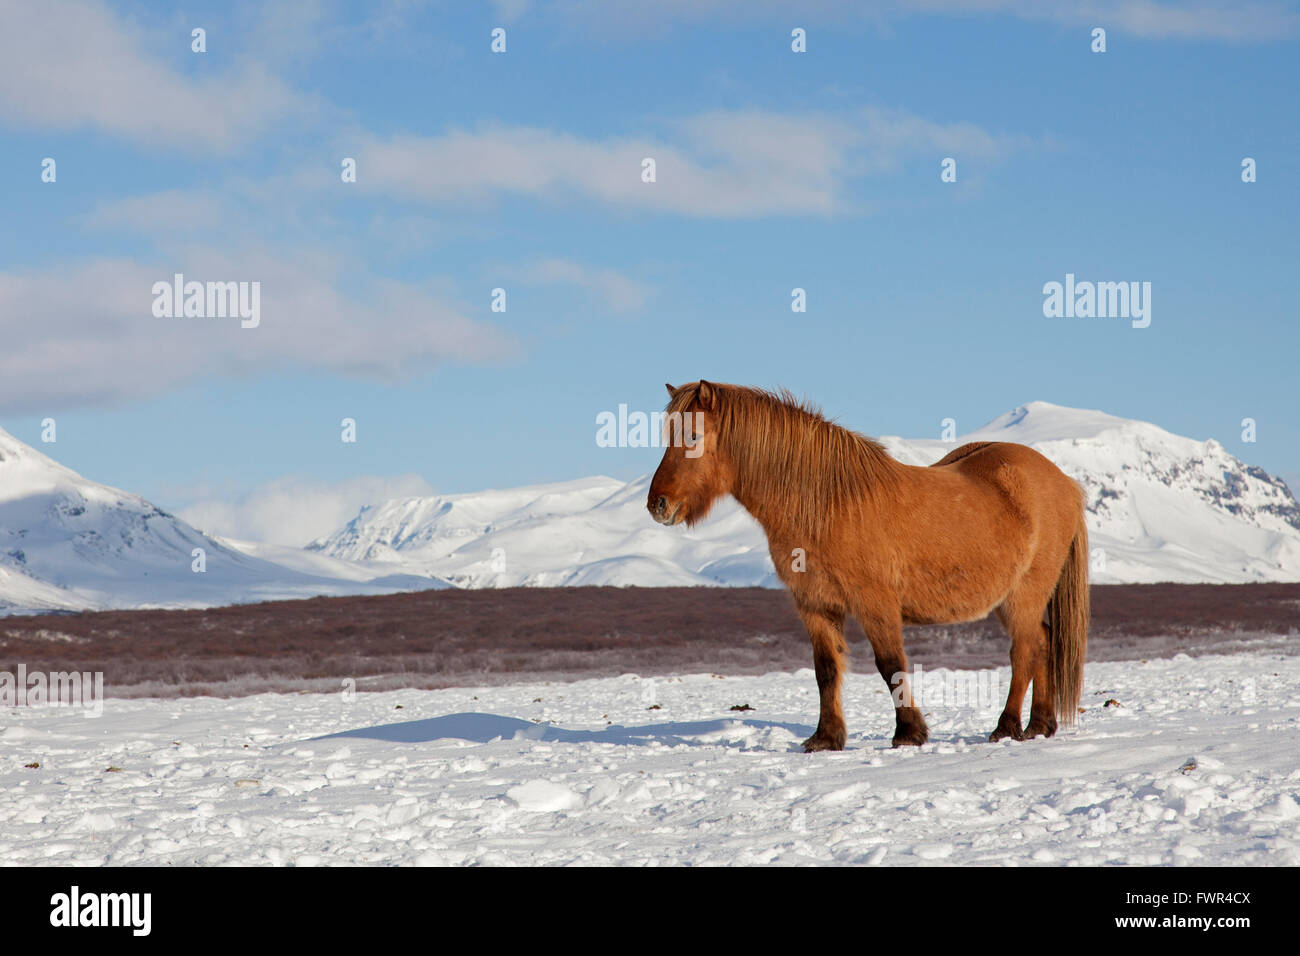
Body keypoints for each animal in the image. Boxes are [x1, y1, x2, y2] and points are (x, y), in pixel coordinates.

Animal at [647, 381, 1089, 752]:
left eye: (693, 436)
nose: (657, 505)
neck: (826, 505)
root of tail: (1064, 482)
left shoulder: (875, 603)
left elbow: (890, 665)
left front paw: (909, 734)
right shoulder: (815, 605)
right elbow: (826, 670)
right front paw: (826, 739)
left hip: (1024, 594)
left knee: (1024, 651)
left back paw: (1006, 727)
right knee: (1043, 642)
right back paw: (1039, 725)